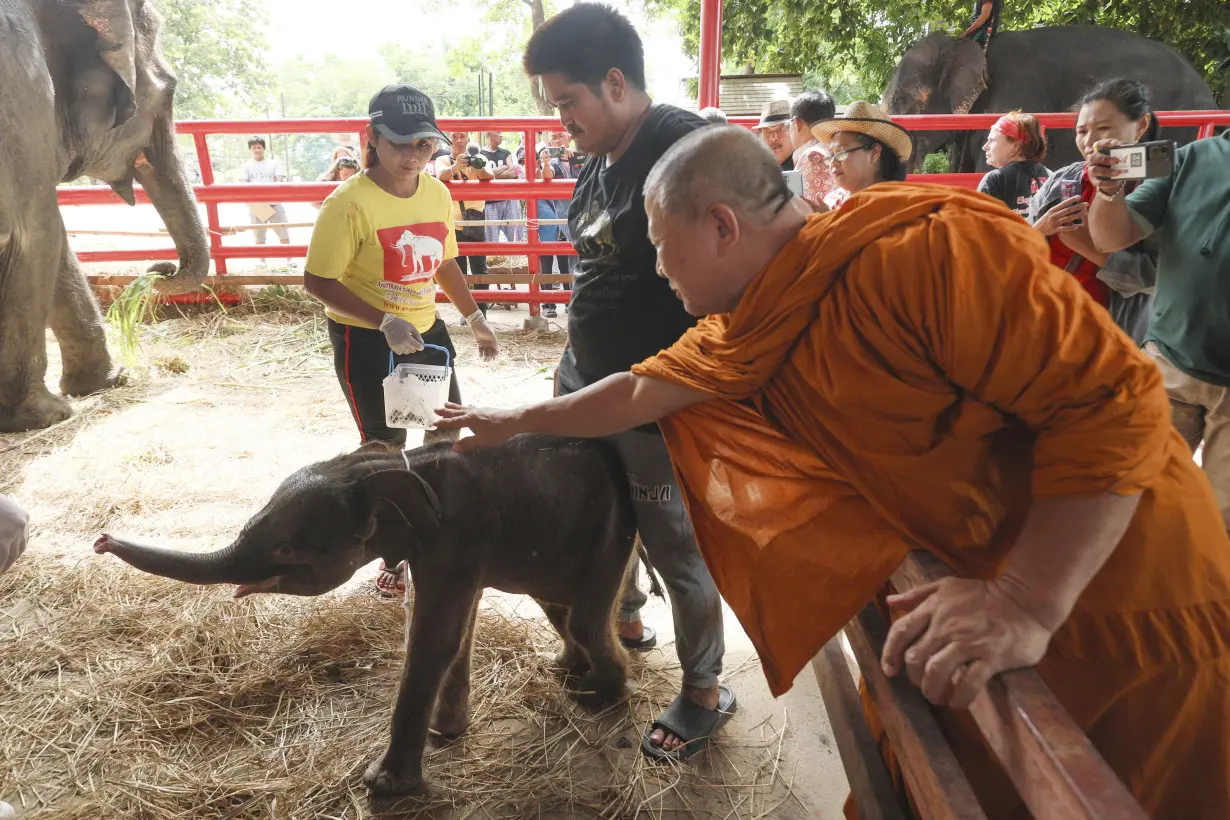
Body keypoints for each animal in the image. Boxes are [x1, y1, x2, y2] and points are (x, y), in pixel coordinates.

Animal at [0, 0, 209, 432]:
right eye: (169, 91)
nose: (161, 268)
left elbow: (57, 245)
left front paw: (107, 382)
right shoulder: (26, 103)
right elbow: (39, 236)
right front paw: (48, 415)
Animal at [94, 435, 634, 796]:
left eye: (287, 550)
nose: (100, 540)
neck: (386, 466)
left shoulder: (454, 540)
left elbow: (433, 639)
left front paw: (383, 785)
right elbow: (455, 631)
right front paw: (447, 732)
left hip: (610, 534)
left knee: (584, 616)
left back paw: (598, 696)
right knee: (559, 607)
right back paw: (568, 671)